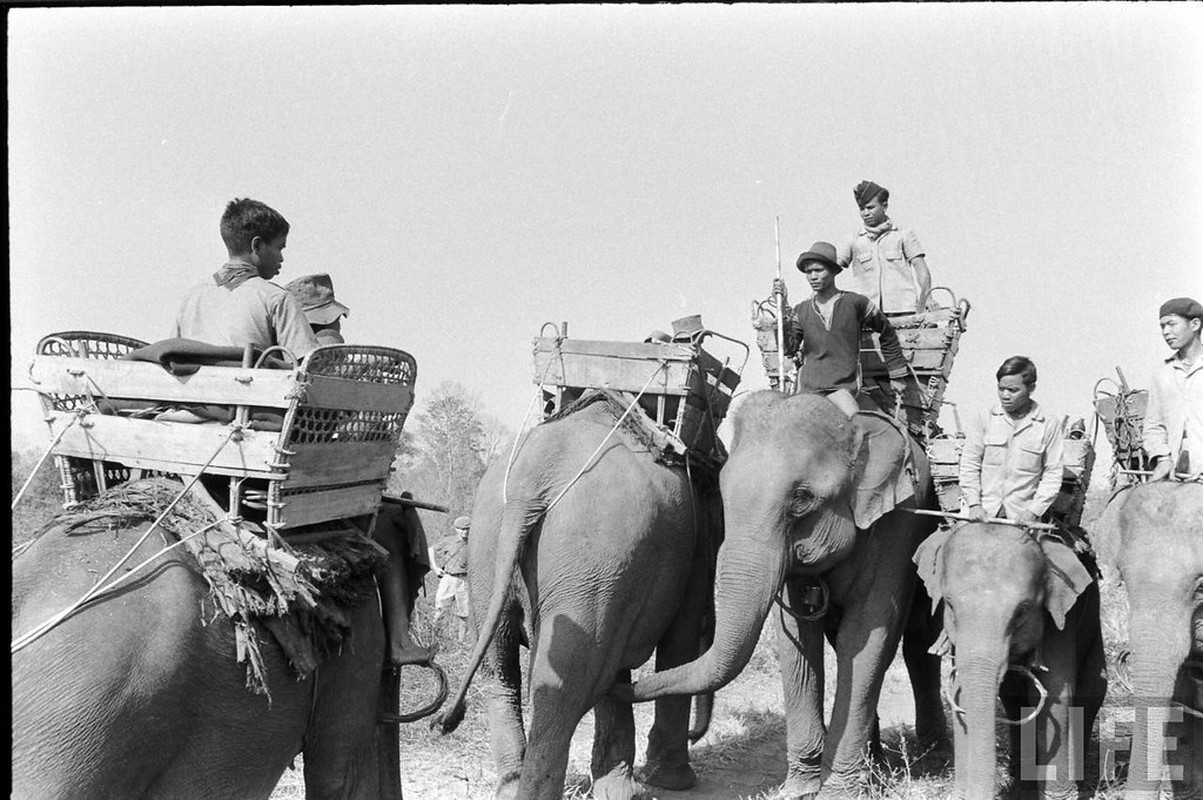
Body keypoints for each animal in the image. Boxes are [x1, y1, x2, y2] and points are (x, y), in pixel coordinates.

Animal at [435, 392, 716, 798]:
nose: (698, 735)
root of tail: (530, 482)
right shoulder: (690, 554)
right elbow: (679, 644)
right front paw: (671, 782)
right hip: (594, 552)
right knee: (566, 683)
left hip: (494, 549)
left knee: (501, 667)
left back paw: (513, 785)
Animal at [625, 392, 943, 798]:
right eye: (723, 490)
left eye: (802, 498)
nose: (620, 683)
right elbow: (798, 640)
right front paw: (800, 790)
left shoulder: (898, 525)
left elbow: (866, 637)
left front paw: (837, 792)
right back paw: (875, 767)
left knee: (920, 641)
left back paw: (933, 757)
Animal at [914, 522, 1101, 793]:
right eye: (949, 604)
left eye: (1023, 610)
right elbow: (960, 690)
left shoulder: (1061, 620)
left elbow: (1055, 691)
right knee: (1014, 699)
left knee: (1092, 690)